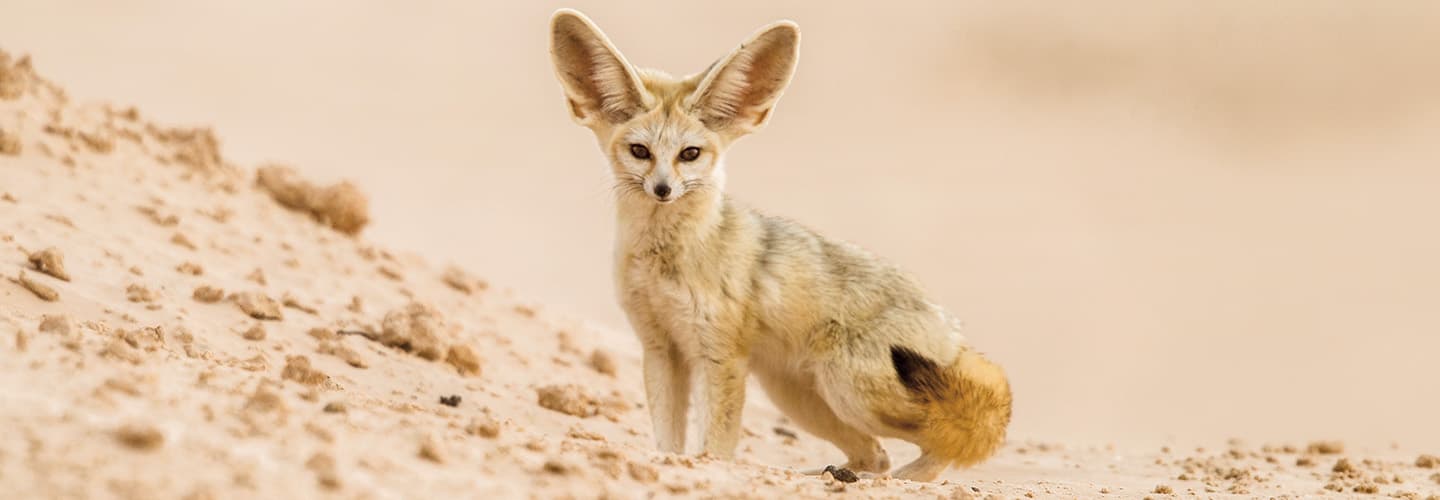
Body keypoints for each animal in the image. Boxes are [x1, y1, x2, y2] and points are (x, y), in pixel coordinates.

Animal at [547, 9, 1012, 482]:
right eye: (640, 151)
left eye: (690, 154)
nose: (662, 189)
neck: (666, 260)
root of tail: (952, 332)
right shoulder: (660, 349)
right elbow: (666, 439)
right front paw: (668, 463)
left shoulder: (721, 355)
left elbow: (716, 443)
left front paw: (710, 466)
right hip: (799, 398)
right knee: (874, 453)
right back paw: (829, 474)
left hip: (850, 391)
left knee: (950, 438)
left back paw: (896, 478)